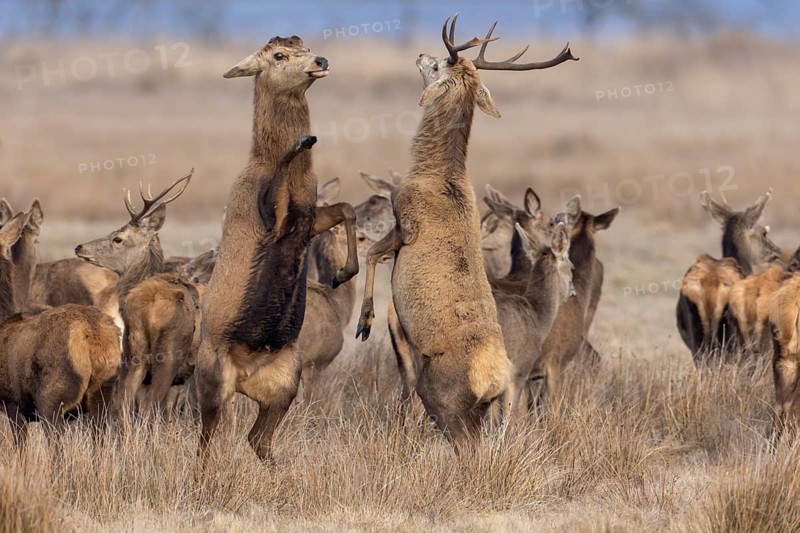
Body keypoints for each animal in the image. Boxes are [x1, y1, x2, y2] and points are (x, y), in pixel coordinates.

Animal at [75, 172, 198, 419]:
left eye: (118, 238)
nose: (79, 247)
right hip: (168, 353)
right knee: (149, 403)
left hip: (135, 346)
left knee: (124, 401)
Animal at [194, 35, 360, 467]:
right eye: (278, 55)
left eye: (305, 45)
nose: (321, 61)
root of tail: (245, 375)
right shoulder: (274, 217)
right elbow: (284, 169)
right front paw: (303, 140)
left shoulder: (308, 218)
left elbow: (347, 208)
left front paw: (343, 272)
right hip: (212, 380)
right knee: (206, 440)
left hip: (285, 383)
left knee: (258, 439)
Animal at [355, 16, 577, 443]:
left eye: (441, 63)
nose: (420, 54)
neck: (435, 173)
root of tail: (492, 380)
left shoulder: (405, 223)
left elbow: (373, 253)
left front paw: (364, 322)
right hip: (492, 403)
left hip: (444, 400)